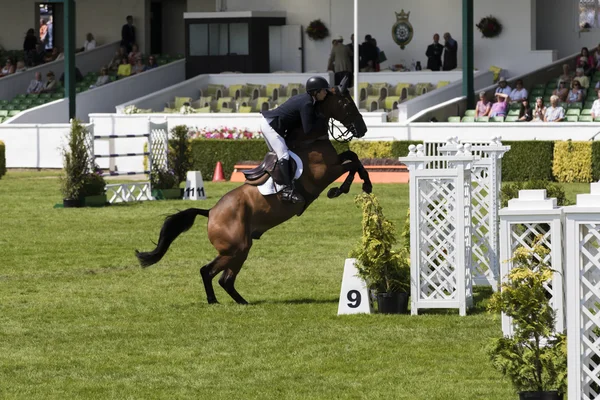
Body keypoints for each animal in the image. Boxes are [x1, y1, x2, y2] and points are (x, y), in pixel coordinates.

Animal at [135, 78, 370, 304]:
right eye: (347, 104)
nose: (363, 129)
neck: (309, 140)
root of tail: (211, 212)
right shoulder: (325, 173)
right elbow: (352, 164)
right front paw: (346, 188)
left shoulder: (334, 164)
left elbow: (353, 158)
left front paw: (355, 186)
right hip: (236, 248)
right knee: (210, 272)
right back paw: (217, 301)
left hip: (240, 250)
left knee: (223, 279)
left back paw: (238, 302)